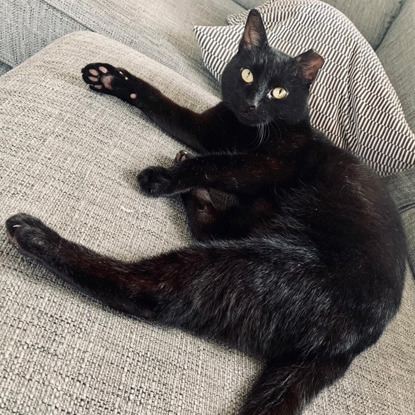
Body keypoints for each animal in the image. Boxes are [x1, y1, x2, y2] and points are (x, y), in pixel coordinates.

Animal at [6, 8, 408, 415]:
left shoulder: (266, 164)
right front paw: (113, 79)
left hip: (245, 266)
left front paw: (164, 178)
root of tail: (356, 344)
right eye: (247, 75)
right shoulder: (208, 131)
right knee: (209, 230)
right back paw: (191, 192)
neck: (244, 130)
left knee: (149, 293)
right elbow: (163, 103)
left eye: (279, 91)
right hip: (251, 228)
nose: (252, 104)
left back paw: (33, 233)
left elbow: (215, 163)